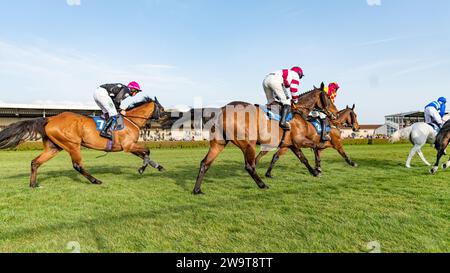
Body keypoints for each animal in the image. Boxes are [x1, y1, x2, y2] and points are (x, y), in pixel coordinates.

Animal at [0, 96, 167, 187]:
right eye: (162, 110)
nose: (166, 122)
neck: (131, 120)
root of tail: (51, 118)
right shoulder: (128, 146)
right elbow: (147, 151)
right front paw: (142, 169)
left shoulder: (130, 146)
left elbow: (145, 154)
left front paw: (158, 167)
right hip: (73, 145)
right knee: (77, 165)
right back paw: (95, 180)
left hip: (54, 147)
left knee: (35, 162)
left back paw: (33, 184)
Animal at [192, 84, 338, 194]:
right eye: (329, 98)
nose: (335, 113)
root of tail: (222, 109)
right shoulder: (299, 140)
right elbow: (315, 146)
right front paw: (318, 168)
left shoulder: (290, 144)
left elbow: (303, 159)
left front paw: (314, 172)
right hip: (248, 144)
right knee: (249, 166)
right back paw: (263, 185)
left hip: (219, 143)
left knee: (205, 163)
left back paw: (197, 190)